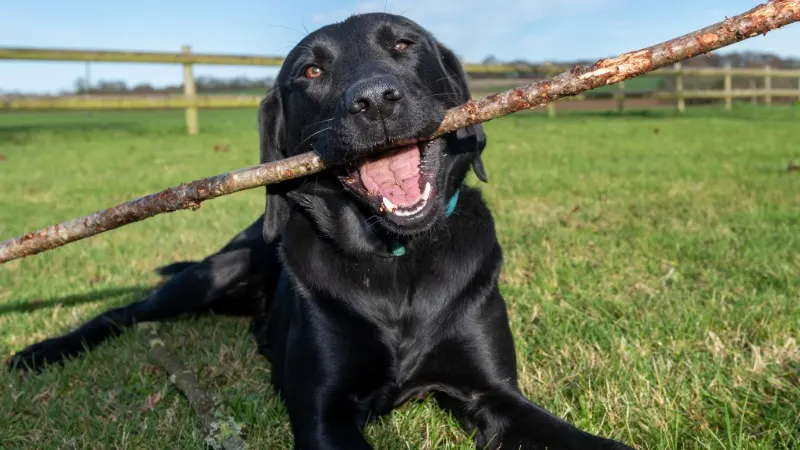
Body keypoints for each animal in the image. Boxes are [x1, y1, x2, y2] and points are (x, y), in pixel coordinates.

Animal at [9, 14, 632, 450]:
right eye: (310, 71)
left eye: (405, 45)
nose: (375, 100)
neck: (395, 258)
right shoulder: (323, 412)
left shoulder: (496, 395)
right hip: (216, 272)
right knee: (126, 311)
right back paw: (41, 351)